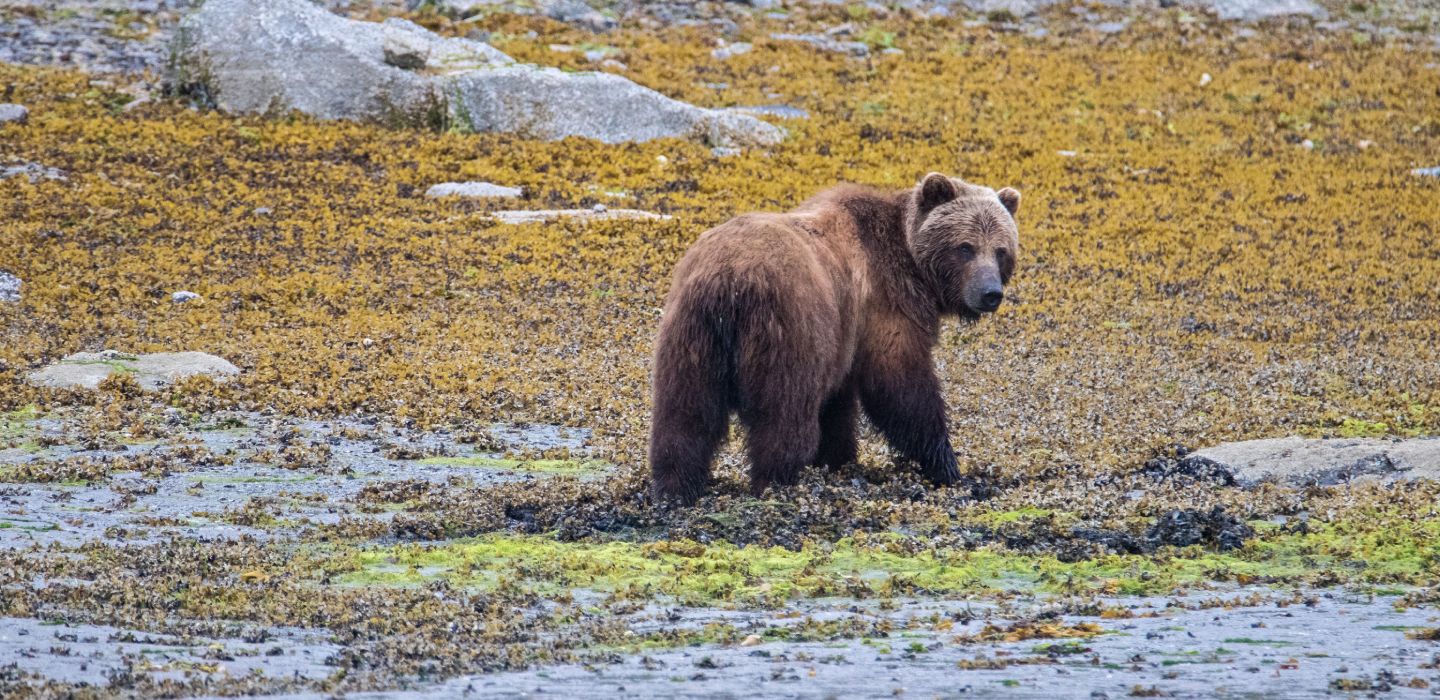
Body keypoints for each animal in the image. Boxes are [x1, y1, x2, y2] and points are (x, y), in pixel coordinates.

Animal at [649, 172, 1021, 505]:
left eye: (1000, 250)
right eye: (965, 247)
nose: (990, 293)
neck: (912, 262)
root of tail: (729, 279)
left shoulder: (846, 334)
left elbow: (838, 405)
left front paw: (837, 457)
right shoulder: (884, 305)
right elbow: (901, 386)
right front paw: (946, 465)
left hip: (691, 335)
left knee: (685, 413)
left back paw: (676, 487)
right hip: (788, 327)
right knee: (783, 414)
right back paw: (774, 482)